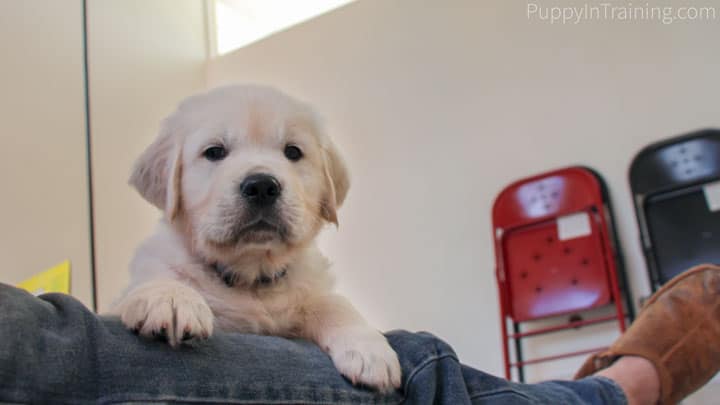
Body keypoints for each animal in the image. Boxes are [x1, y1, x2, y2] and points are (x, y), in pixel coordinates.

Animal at [113, 85, 404, 392]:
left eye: (293, 152)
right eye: (214, 152)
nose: (262, 186)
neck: (250, 278)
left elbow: (333, 303)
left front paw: (370, 351)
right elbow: (162, 278)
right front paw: (170, 298)